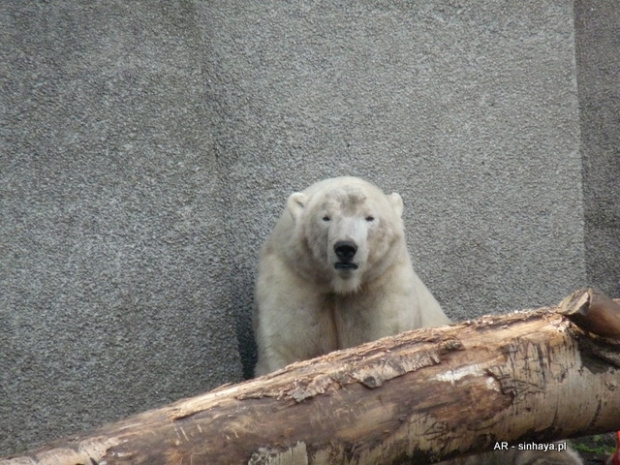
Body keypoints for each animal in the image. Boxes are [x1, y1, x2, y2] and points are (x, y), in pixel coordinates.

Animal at [253, 176, 450, 376]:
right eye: (326, 217)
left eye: (369, 217)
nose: (345, 248)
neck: (341, 284)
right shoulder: (294, 279)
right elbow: (286, 345)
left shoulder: (383, 283)